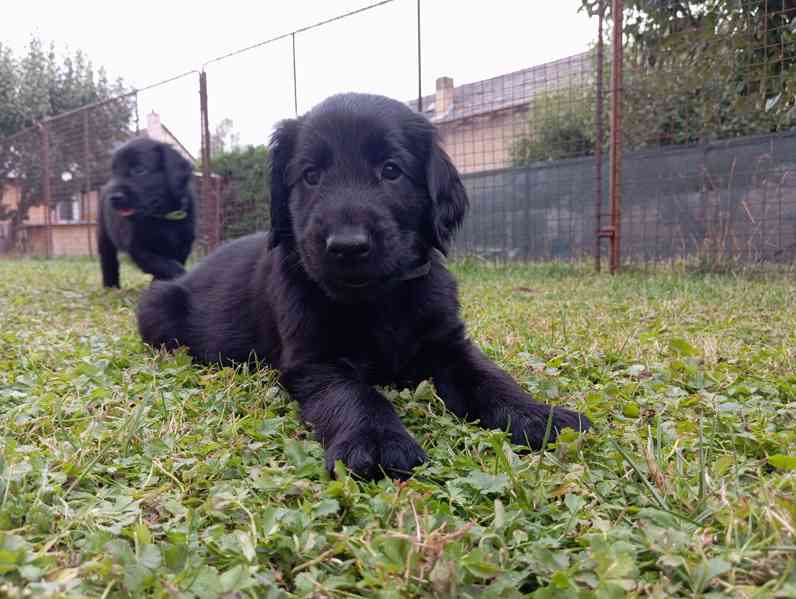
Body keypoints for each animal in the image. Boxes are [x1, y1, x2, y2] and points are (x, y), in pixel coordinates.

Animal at [97, 141, 196, 290]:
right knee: (108, 260)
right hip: (104, 236)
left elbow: (173, 262)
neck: (164, 217)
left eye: (139, 170)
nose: (113, 197)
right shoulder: (138, 248)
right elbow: (165, 265)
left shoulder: (183, 244)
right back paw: (111, 287)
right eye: (115, 172)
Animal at [140, 92, 592, 478]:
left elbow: (490, 376)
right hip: (156, 305)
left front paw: (539, 415)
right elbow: (355, 394)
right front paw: (377, 441)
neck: (380, 299)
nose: (347, 246)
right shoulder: (315, 361)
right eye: (310, 175)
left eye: (391, 170)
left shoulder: (448, 342)